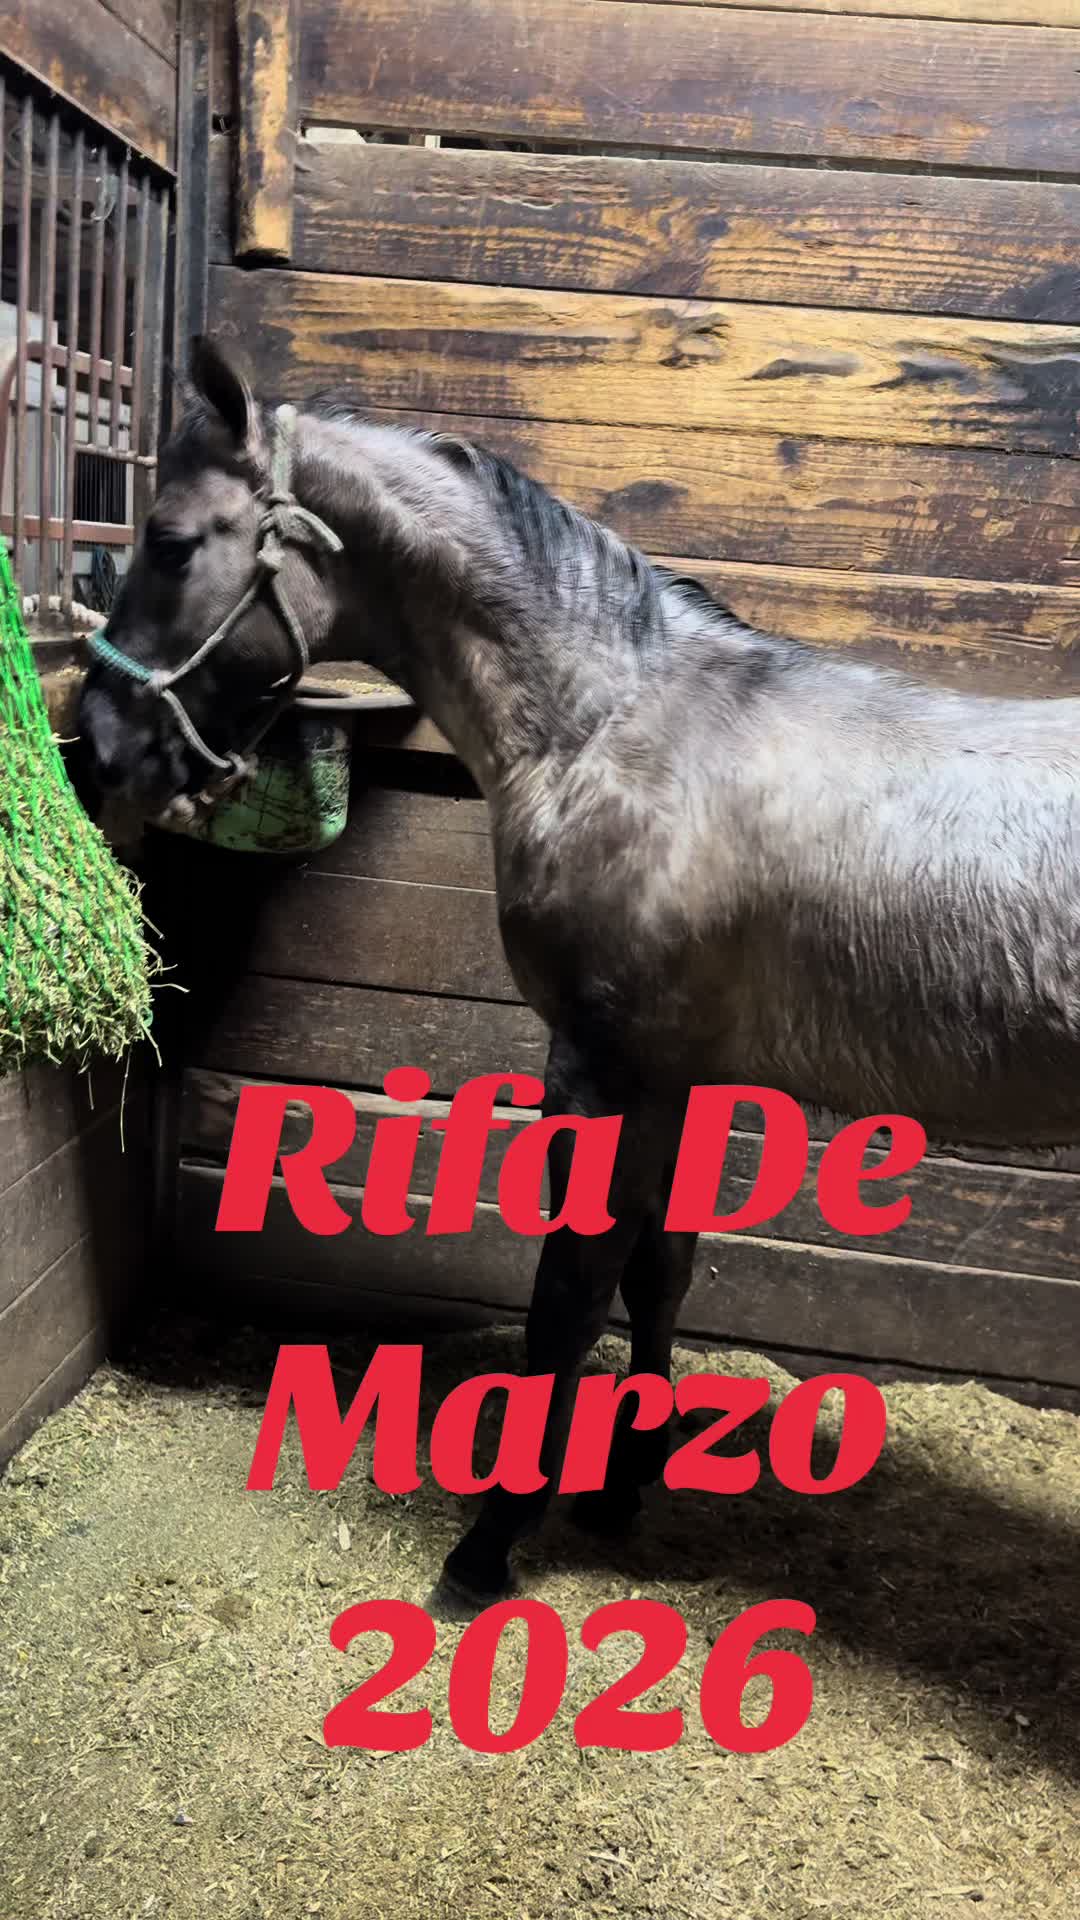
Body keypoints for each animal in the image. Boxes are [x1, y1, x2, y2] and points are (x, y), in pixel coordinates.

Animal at [79, 335, 1080, 1604]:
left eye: (168, 542)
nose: (103, 745)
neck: (615, 726)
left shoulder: (601, 1067)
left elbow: (568, 1298)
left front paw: (490, 1544)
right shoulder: (681, 1074)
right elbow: (659, 1270)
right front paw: (621, 1485)